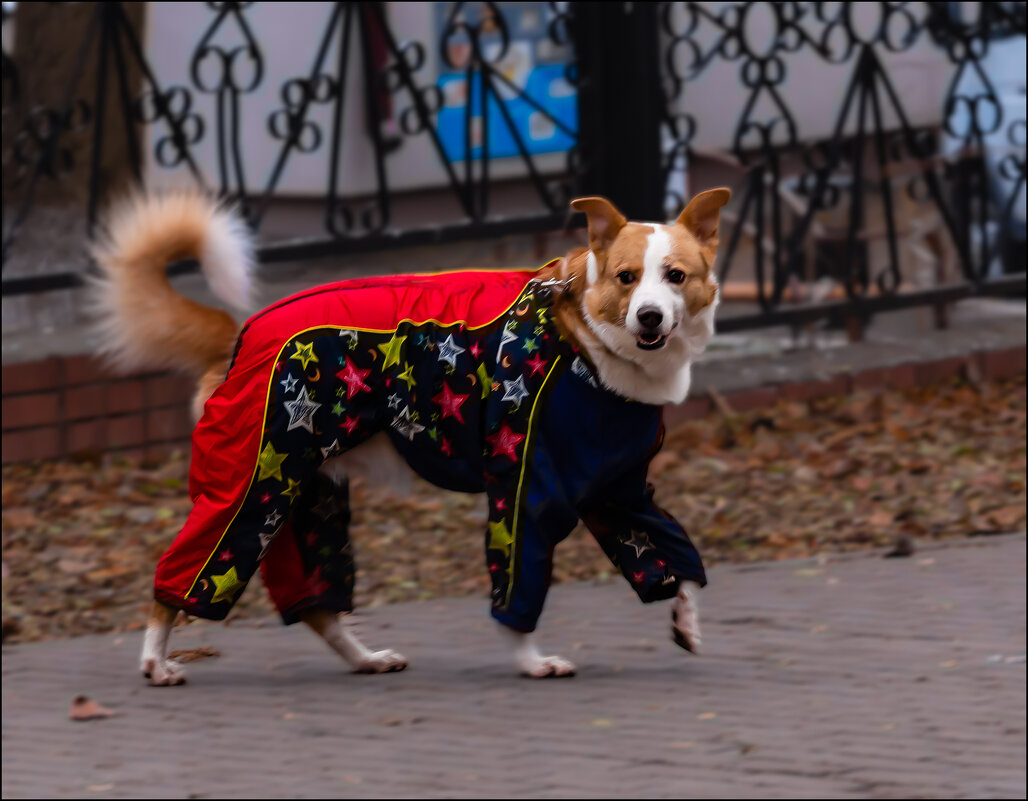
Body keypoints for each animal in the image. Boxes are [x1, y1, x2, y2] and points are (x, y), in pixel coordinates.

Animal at [90, 188, 731, 682]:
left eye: (675, 276)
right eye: (627, 278)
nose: (649, 316)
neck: (579, 338)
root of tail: (239, 334)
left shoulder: (619, 493)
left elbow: (673, 554)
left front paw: (686, 619)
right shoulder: (526, 489)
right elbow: (517, 585)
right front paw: (530, 660)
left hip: (304, 495)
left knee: (318, 603)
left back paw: (364, 658)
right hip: (251, 487)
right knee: (185, 571)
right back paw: (155, 660)